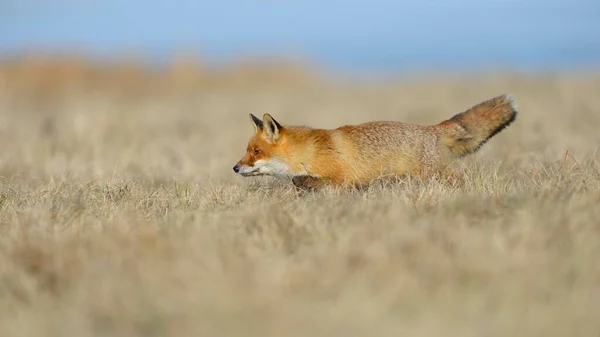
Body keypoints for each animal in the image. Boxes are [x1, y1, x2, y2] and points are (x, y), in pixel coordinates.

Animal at [232, 93, 516, 190]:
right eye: (247, 150)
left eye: (256, 152)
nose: (235, 168)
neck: (310, 152)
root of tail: (432, 128)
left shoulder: (340, 180)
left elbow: (305, 182)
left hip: (437, 174)